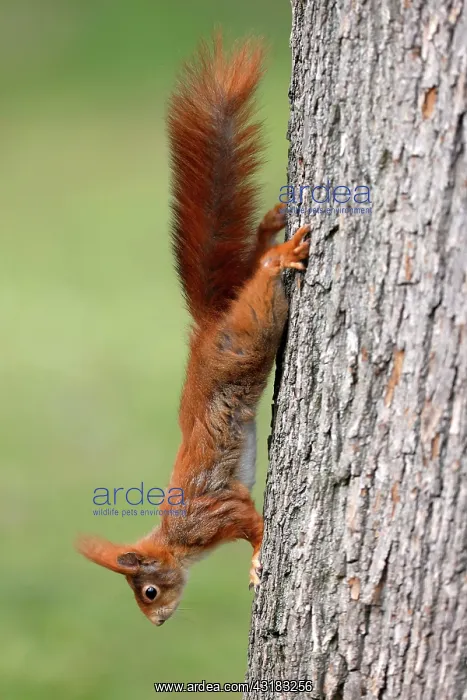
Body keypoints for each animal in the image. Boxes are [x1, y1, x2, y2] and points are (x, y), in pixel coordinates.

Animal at [77, 34, 310, 627]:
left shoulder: (217, 510)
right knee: (251, 261)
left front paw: (255, 564)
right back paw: (271, 225)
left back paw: (280, 255)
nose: (157, 623)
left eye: (147, 591)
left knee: (261, 281)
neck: (179, 541)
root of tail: (208, 329)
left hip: (247, 337)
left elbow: (254, 525)